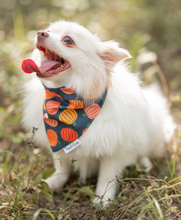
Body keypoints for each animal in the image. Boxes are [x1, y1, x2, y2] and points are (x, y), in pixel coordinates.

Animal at [21, 19, 175, 204]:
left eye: (68, 40)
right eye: (49, 30)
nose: (40, 33)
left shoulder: (115, 150)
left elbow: (107, 177)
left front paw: (102, 199)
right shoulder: (56, 141)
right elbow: (61, 166)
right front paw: (54, 181)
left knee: (145, 150)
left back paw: (144, 163)